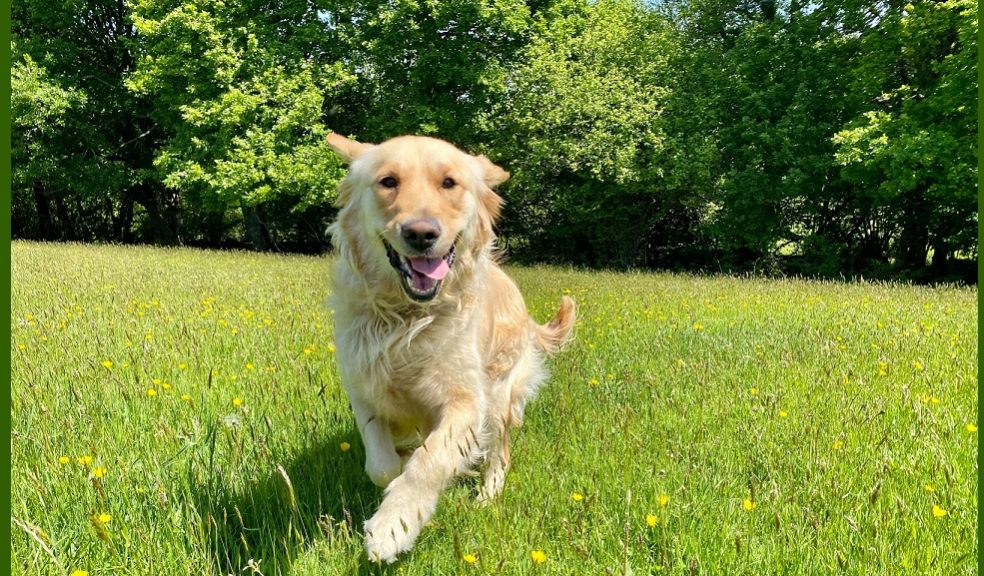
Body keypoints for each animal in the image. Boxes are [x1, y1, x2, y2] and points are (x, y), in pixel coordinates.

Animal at [326, 132, 576, 564]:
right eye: (388, 181)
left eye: (449, 183)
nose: (421, 233)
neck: (407, 317)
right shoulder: (362, 388)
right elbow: (382, 464)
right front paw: (397, 469)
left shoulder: (467, 402)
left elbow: (431, 460)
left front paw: (394, 525)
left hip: (498, 397)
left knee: (500, 453)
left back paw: (487, 495)